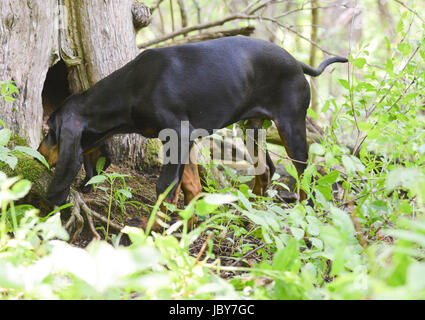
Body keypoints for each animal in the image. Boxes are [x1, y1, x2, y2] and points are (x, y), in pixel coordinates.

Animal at [37, 36, 348, 209]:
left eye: (49, 130)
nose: (37, 154)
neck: (131, 87)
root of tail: (296, 63)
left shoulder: (178, 135)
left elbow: (164, 188)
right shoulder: (184, 141)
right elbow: (190, 187)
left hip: (291, 125)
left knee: (304, 174)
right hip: (252, 129)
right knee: (266, 170)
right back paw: (255, 209)